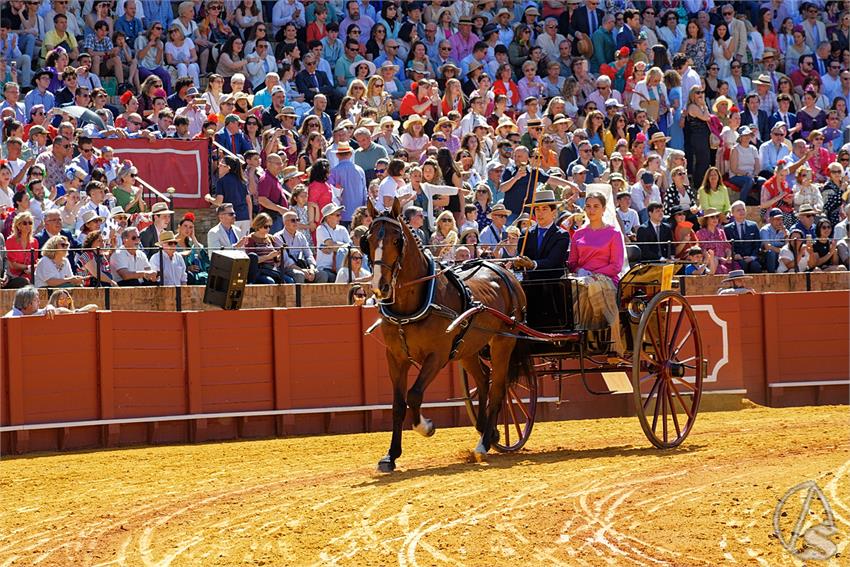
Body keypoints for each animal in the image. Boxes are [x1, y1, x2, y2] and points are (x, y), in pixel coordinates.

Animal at [360, 197, 528, 472]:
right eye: (368, 240)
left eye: (397, 240)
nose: (379, 286)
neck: (412, 304)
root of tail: (506, 272)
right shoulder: (395, 357)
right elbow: (398, 404)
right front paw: (391, 455)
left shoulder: (436, 356)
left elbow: (414, 395)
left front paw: (426, 427)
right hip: (468, 349)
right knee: (484, 380)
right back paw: (487, 431)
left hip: (503, 342)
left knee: (497, 388)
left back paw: (483, 444)